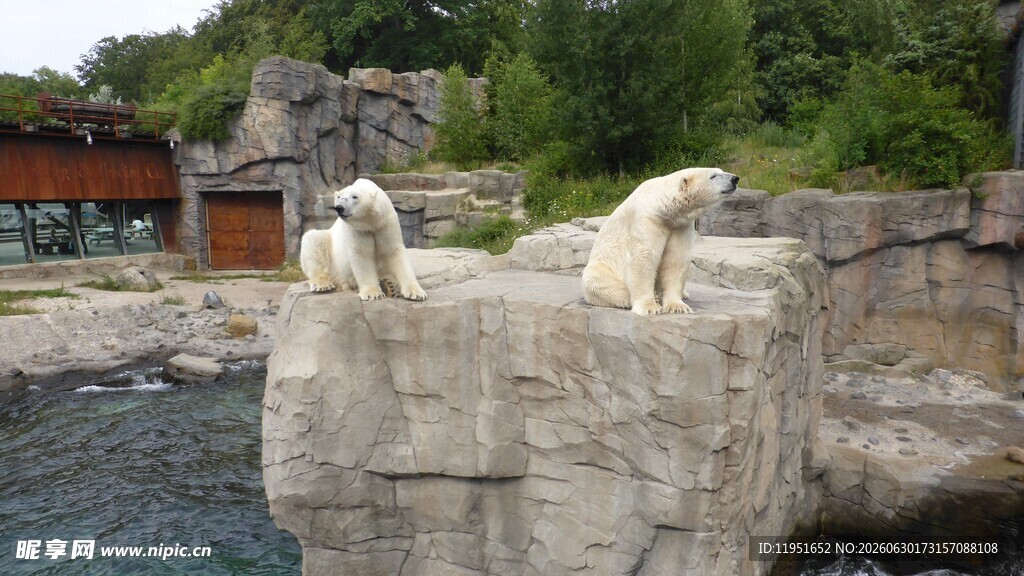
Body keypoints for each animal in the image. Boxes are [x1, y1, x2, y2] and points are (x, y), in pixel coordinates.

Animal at [581, 167, 738, 315]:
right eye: (713, 175)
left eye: (720, 171)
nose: (735, 179)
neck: (664, 209)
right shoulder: (648, 220)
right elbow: (644, 258)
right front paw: (650, 308)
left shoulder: (679, 226)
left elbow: (676, 259)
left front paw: (678, 307)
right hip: (601, 269)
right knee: (600, 283)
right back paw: (654, 297)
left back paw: (682, 293)